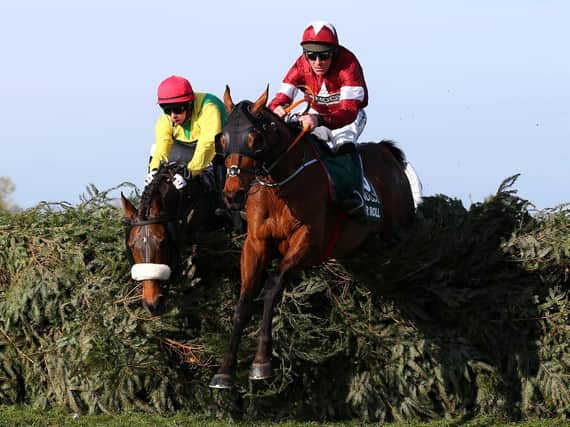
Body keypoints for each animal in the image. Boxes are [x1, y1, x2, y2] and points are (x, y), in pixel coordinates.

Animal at [207, 85, 412, 390]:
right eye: (222, 138)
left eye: (255, 139)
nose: (232, 194)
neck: (279, 187)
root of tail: (389, 155)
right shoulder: (255, 244)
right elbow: (244, 299)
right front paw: (224, 371)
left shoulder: (308, 242)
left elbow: (272, 287)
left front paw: (261, 362)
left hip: (400, 234)